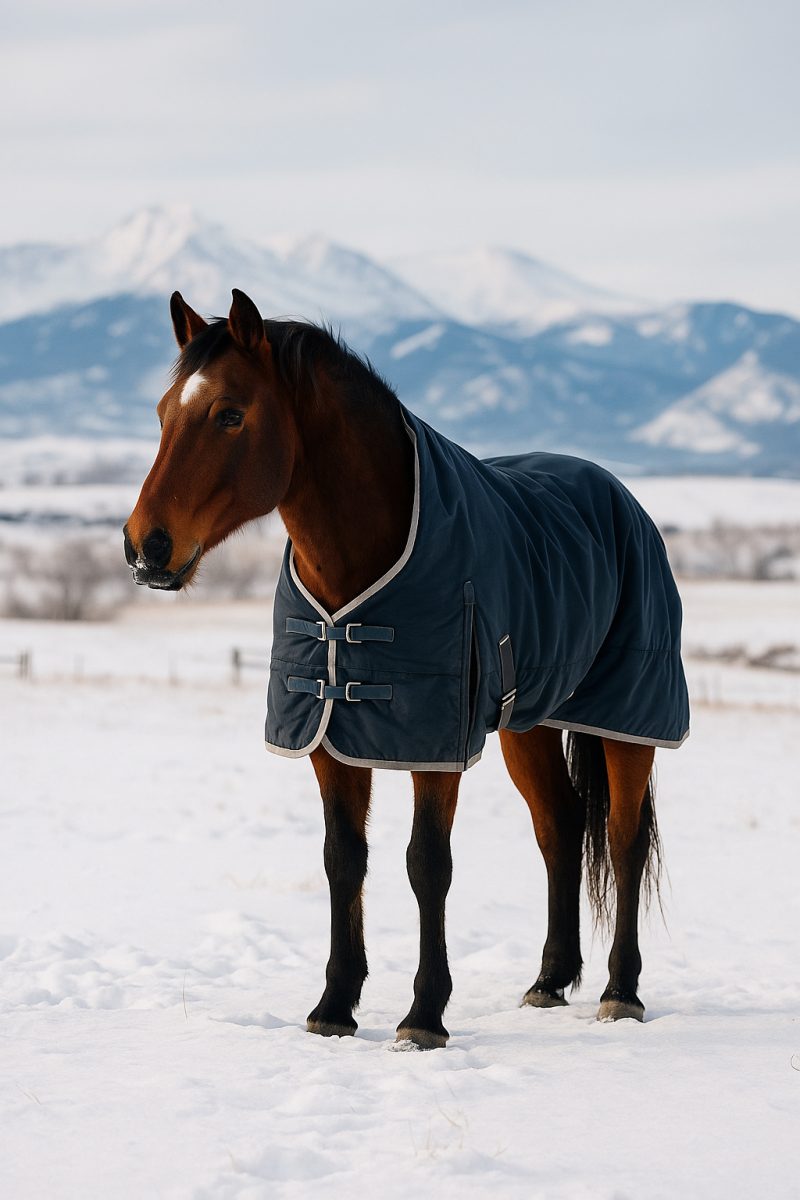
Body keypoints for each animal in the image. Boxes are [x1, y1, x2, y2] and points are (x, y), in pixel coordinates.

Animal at [124, 288, 688, 1049]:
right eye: (162, 413)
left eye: (231, 414)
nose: (145, 547)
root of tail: (620, 496)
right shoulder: (328, 735)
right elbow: (343, 858)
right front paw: (333, 1007)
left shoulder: (434, 744)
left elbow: (428, 864)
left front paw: (424, 1016)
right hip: (529, 725)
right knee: (561, 827)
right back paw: (548, 980)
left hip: (626, 718)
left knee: (624, 840)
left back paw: (620, 991)